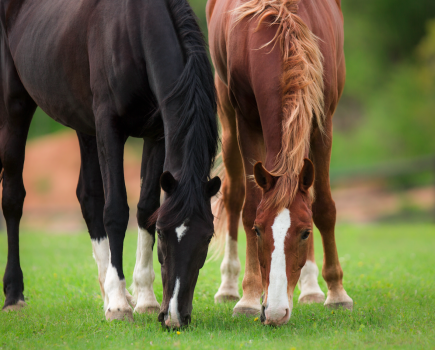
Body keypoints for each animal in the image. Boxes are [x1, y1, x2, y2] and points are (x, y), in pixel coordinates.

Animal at [0, 0, 220, 328]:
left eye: (207, 238)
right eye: (164, 235)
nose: (175, 317)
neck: (134, 29)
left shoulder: (156, 134)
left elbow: (145, 209)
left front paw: (145, 299)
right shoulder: (109, 126)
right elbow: (116, 210)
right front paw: (118, 306)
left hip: (84, 124)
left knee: (88, 198)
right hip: (15, 104)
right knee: (13, 198)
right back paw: (15, 297)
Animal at [208, 0, 354, 326]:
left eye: (304, 232)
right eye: (259, 231)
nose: (274, 312)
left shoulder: (323, 119)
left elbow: (323, 207)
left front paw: (337, 293)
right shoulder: (246, 121)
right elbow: (249, 207)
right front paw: (249, 298)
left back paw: (311, 288)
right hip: (226, 112)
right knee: (233, 195)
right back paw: (228, 286)